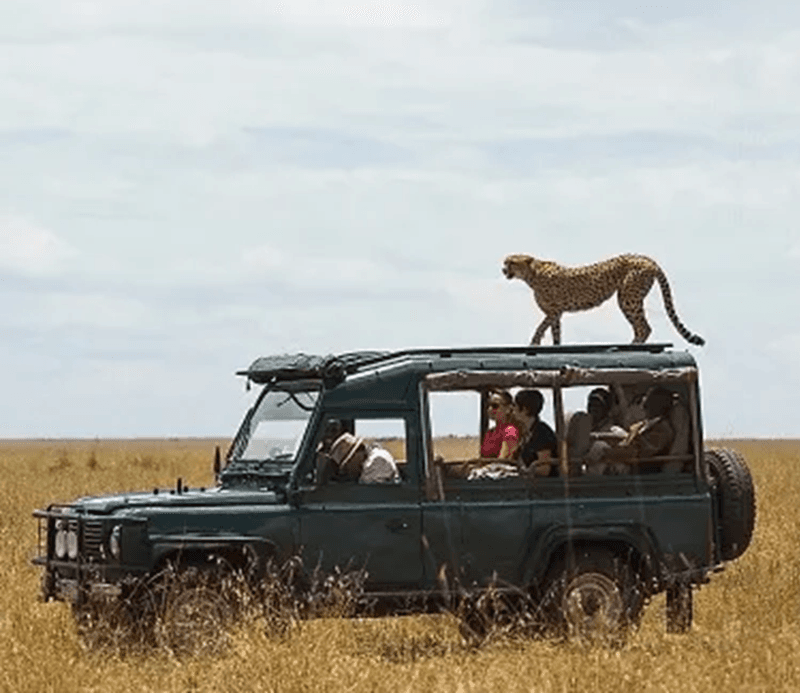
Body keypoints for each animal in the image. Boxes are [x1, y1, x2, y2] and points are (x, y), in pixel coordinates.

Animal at [504, 254, 704, 346]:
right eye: (505, 262)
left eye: (511, 262)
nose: (503, 269)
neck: (531, 273)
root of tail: (646, 258)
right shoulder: (556, 313)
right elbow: (555, 332)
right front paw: (554, 346)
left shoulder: (554, 311)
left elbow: (540, 327)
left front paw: (533, 343)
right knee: (641, 326)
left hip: (627, 297)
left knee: (644, 327)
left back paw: (632, 346)